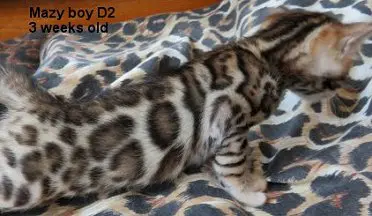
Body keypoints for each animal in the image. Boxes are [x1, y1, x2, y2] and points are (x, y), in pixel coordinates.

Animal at [0, 10, 372, 211]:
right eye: (343, 74)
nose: (348, 92)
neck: (263, 51)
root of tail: (36, 104)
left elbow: (223, 158)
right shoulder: (230, 122)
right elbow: (232, 165)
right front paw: (248, 192)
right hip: (18, 183)